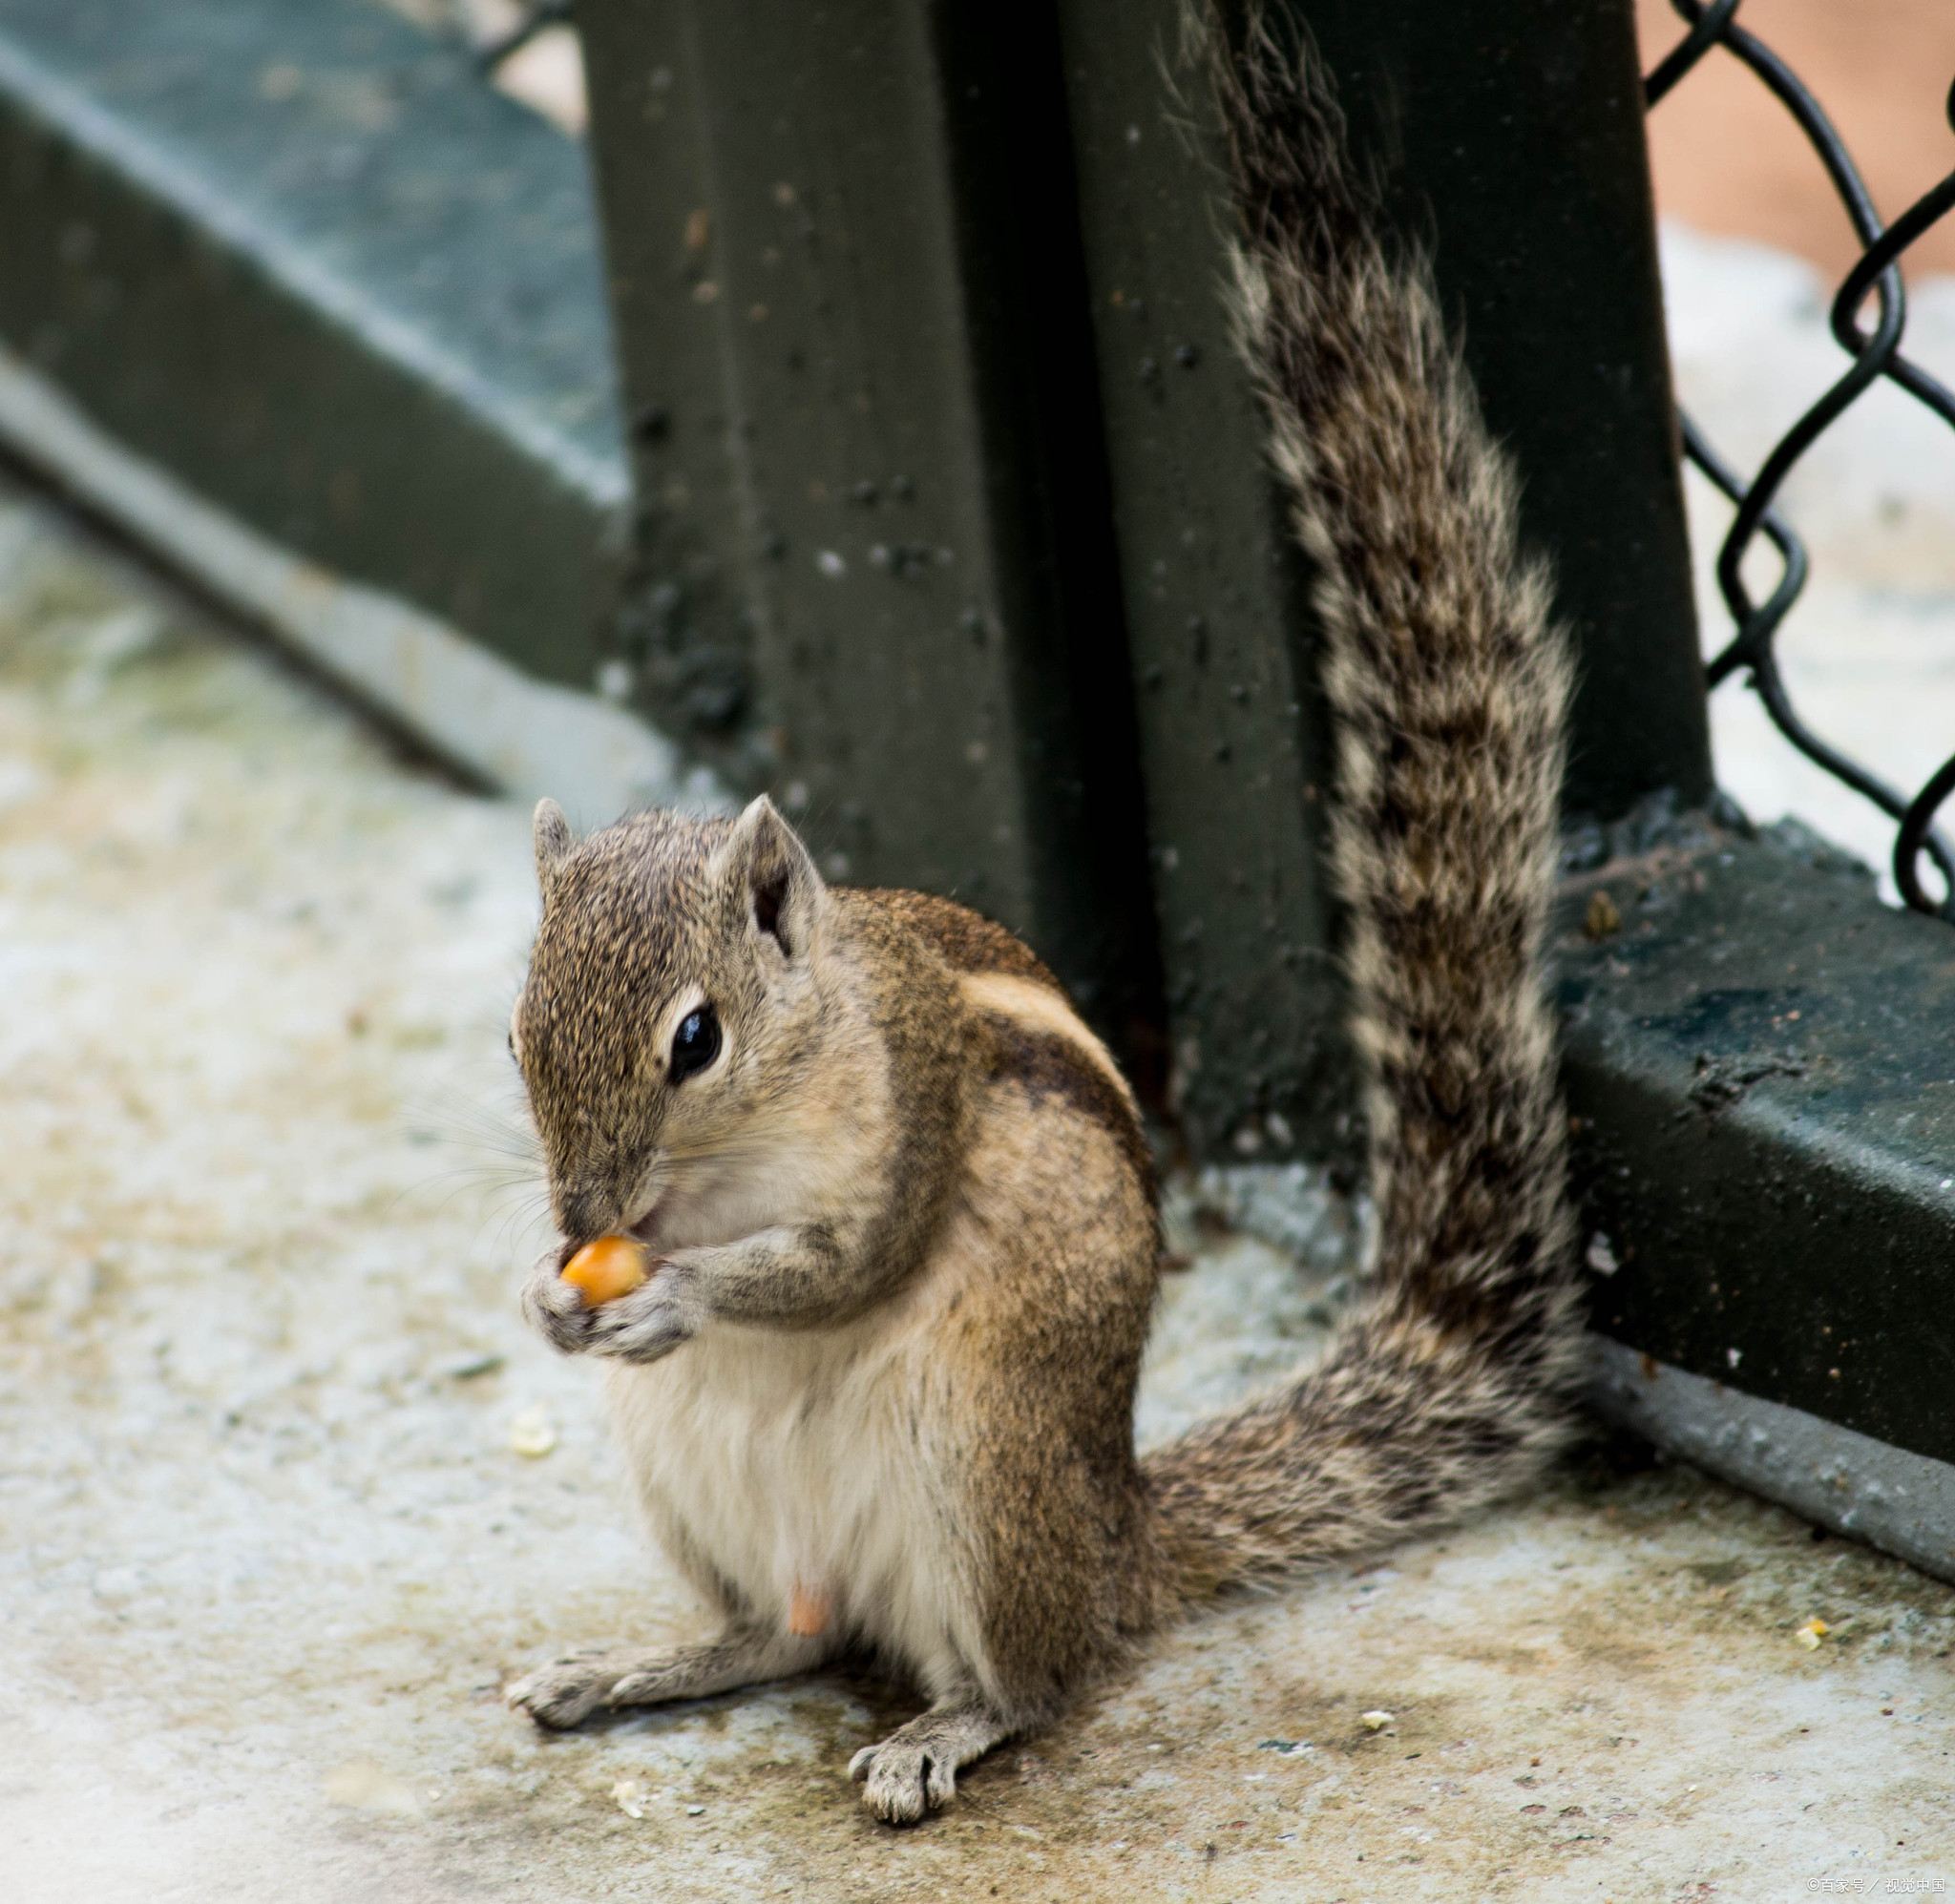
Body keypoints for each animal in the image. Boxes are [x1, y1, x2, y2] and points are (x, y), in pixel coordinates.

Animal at [500, 0, 1571, 1830]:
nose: (582, 1210)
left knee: (1035, 1675)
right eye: (514, 1031)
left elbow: (833, 1267)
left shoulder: (907, 1127)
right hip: (691, 1481)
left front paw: (674, 1296)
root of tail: (1122, 1533)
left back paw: (939, 1728)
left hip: (981, 1472)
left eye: (695, 1038)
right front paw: (545, 1297)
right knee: (779, 1631)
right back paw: (633, 1665)